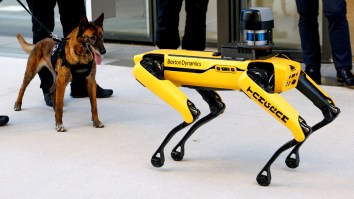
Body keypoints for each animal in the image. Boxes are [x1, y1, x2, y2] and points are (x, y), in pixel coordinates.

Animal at [131, 7, 338, 186]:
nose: (147, 61)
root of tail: (140, 56)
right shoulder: (251, 78)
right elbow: (199, 112)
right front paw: (165, 154)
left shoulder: (254, 77)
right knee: (198, 110)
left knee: (310, 123)